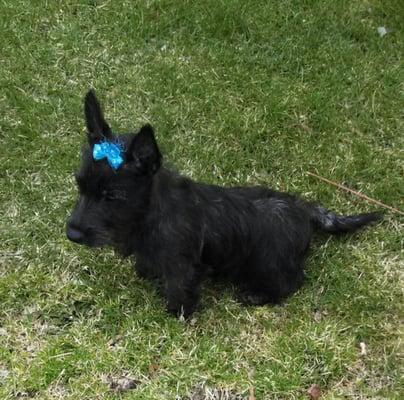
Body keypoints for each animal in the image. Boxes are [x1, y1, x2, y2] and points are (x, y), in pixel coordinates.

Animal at [67, 90, 382, 316]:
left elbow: (179, 287)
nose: (72, 234)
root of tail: (303, 208)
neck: (148, 214)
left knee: (293, 280)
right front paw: (146, 273)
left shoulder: (184, 266)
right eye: (80, 185)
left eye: (112, 196)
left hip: (269, 262)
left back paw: (258, 295)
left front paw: (178, 313)